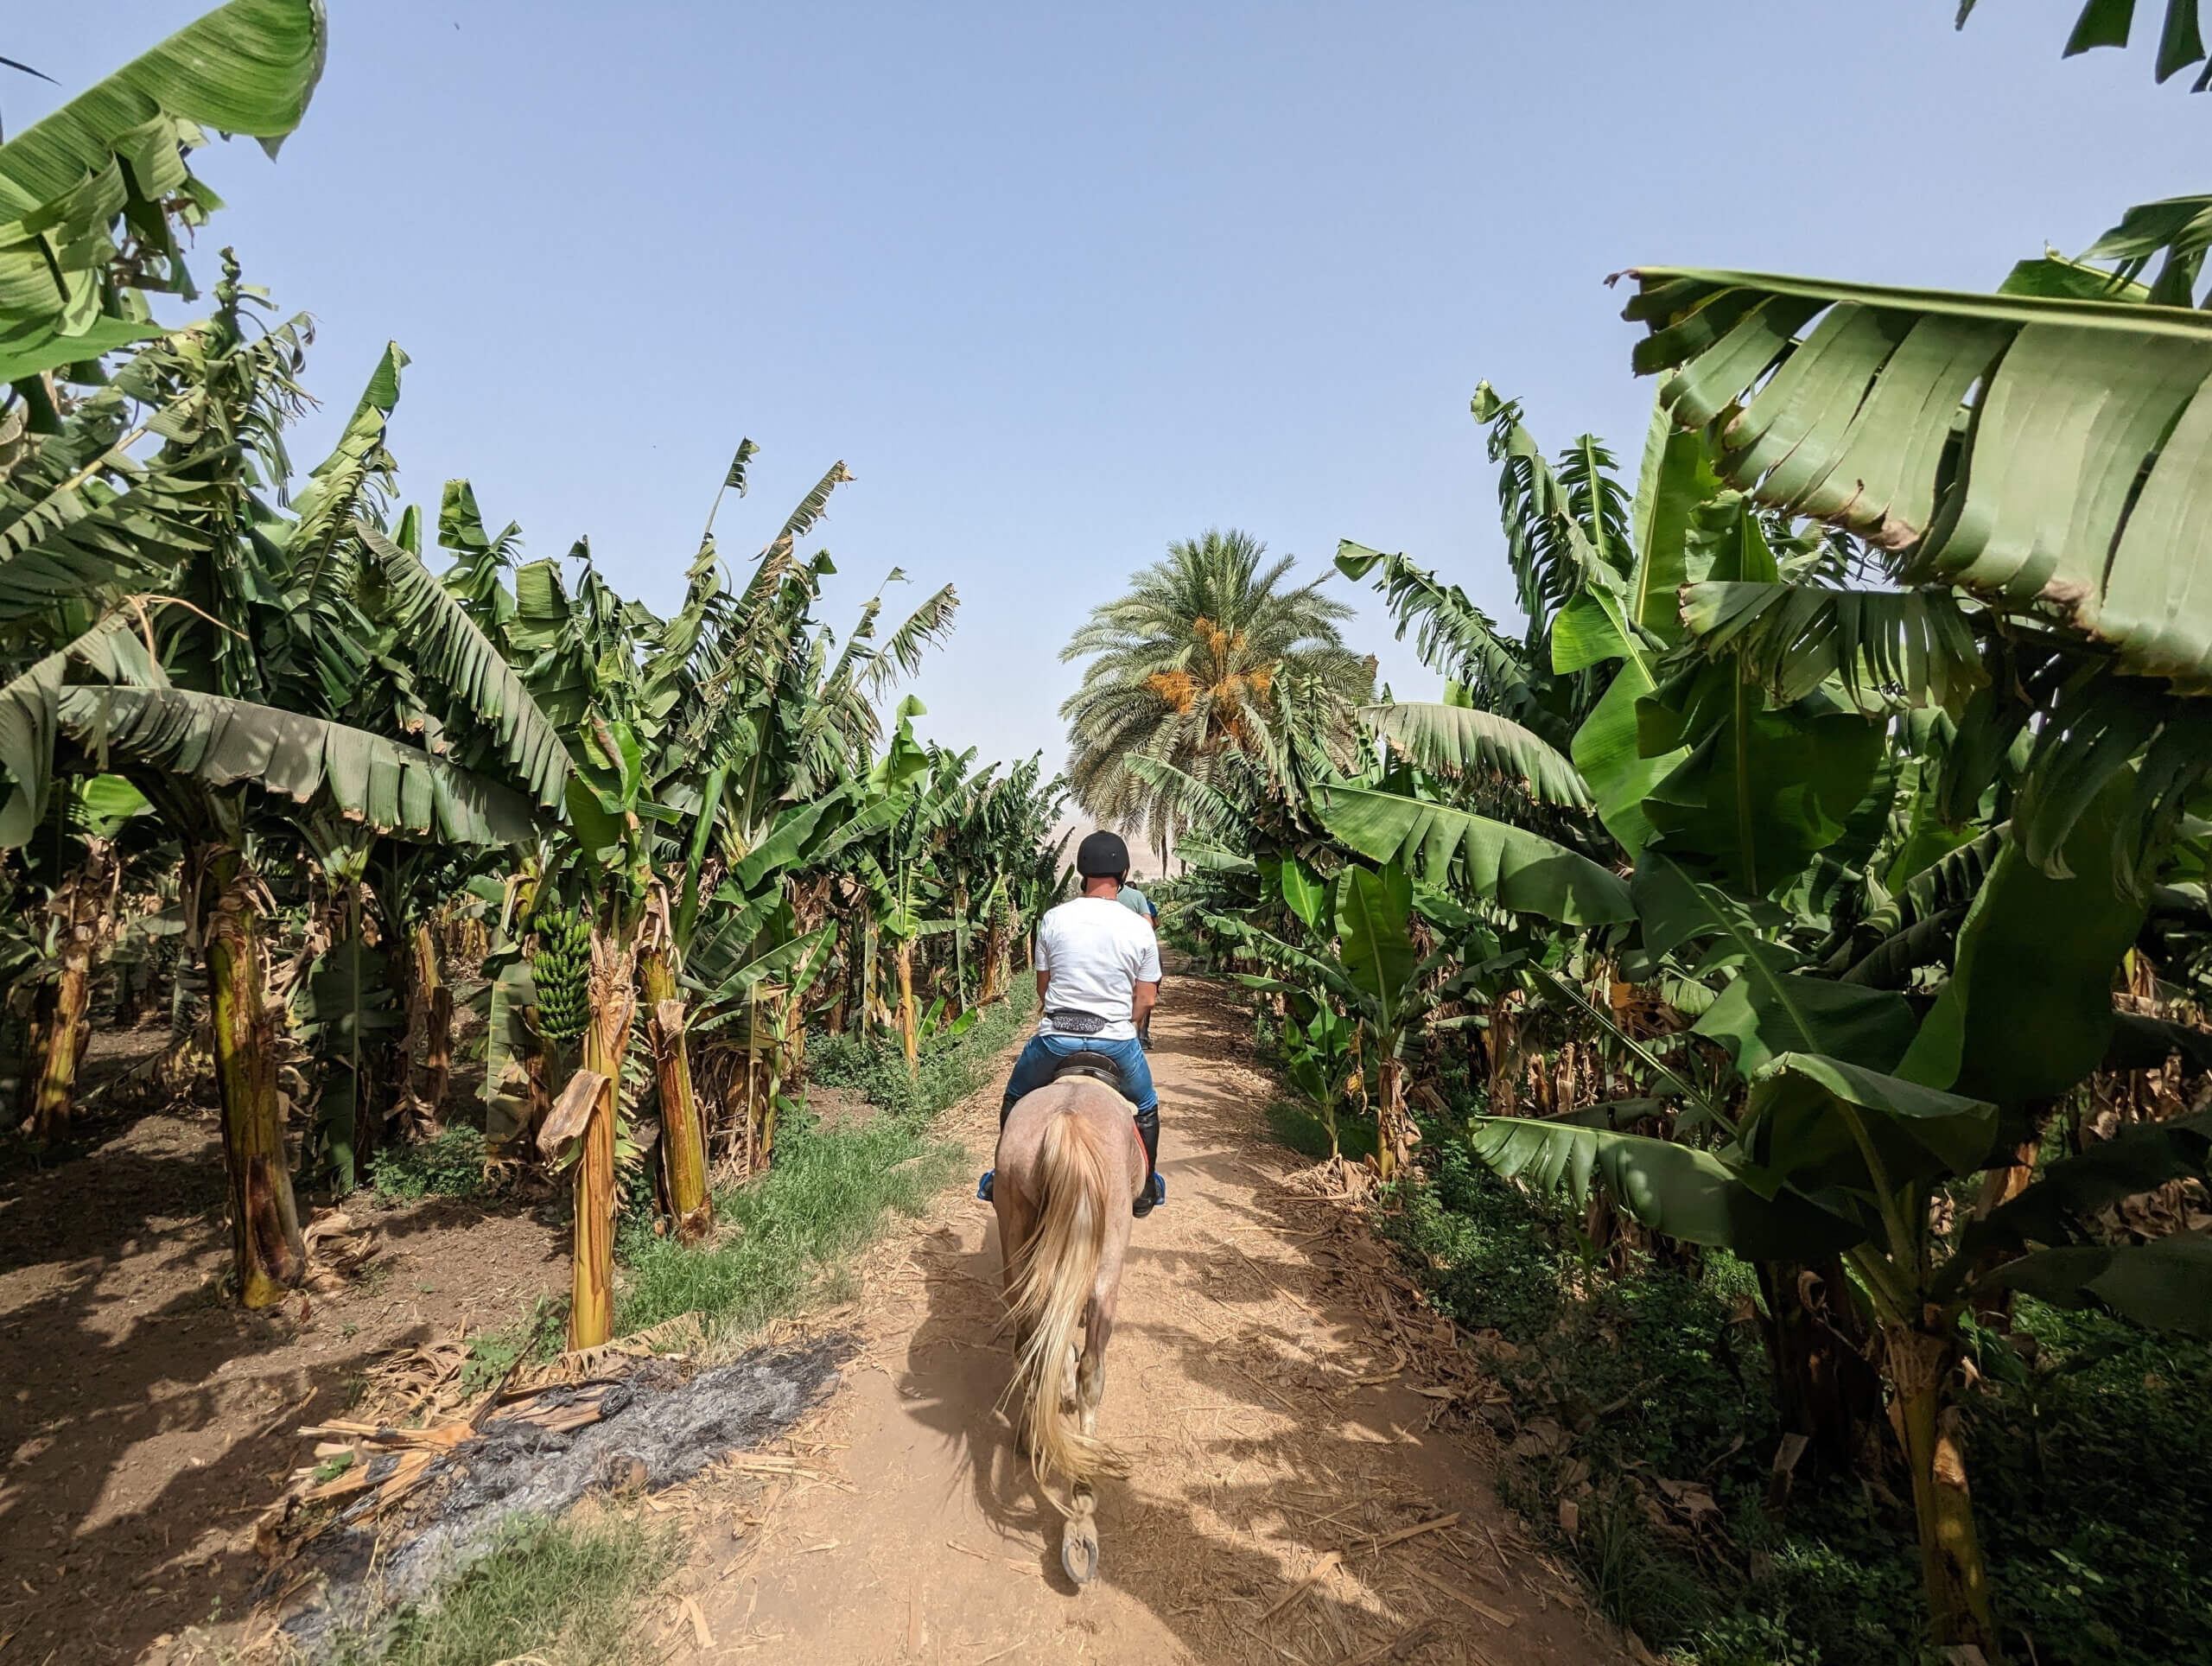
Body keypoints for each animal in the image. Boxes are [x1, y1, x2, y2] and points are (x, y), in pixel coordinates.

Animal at [995, 1066, 1150, 1584]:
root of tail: (1067, 1123)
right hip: (1108, 1258)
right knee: (1092, 1373)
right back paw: (1082, 1501)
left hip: (1016, 1232)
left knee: (1028, 1337)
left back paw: (1030, 1436)